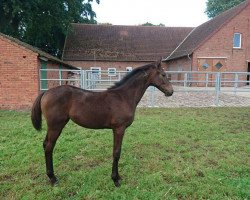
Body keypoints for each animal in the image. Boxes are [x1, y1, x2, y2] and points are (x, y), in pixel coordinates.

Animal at [31, 59, 173, 186]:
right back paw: (53, 178)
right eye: (163, 74)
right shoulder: (119, 128)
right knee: (49, 147)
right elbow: (116, 152)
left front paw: (117, 177)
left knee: (45, 144)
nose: (171, 91)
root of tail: (46, 92)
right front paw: (115, 179)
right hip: (55, 126)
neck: (124, 97)